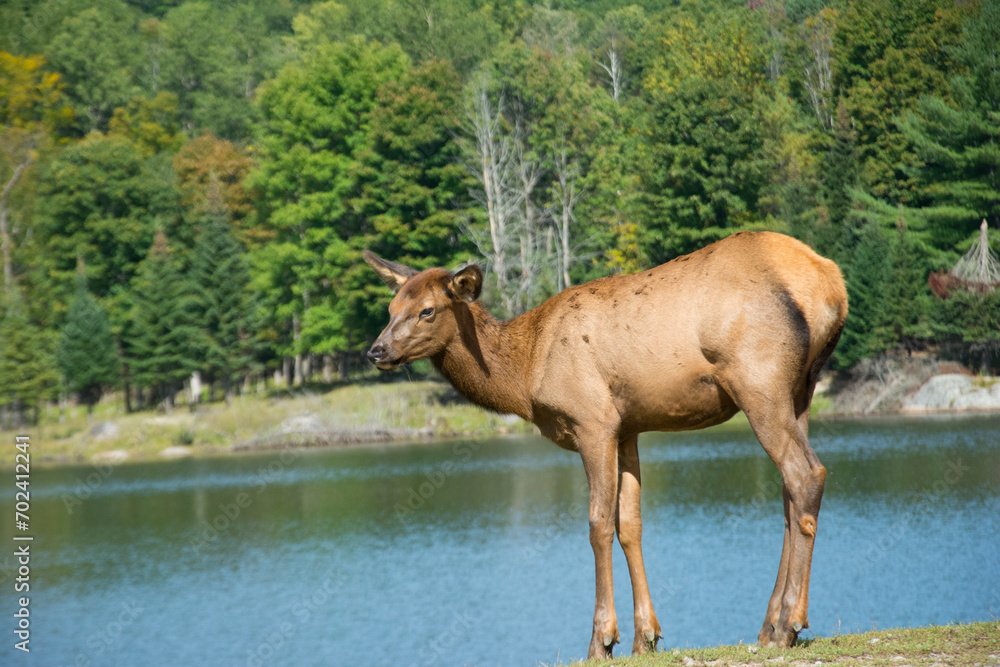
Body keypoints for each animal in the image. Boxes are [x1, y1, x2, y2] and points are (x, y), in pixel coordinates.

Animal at [363, 230, 847, 660]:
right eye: (391, 307)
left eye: (427, 311)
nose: (376, 350)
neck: (525, 373)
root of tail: (833, 287)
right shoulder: (627, 427)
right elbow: (630, 524)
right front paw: (646, 637)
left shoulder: (592, 421)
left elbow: (598, 523)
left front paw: (602, 640)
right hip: (801, 389)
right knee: (790, 491)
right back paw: (769, 625)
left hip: (759, 379)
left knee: (806, 473)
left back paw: (789, 624)